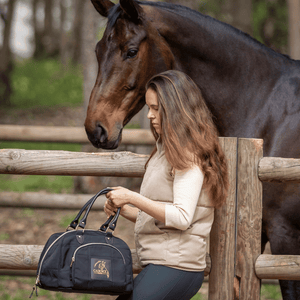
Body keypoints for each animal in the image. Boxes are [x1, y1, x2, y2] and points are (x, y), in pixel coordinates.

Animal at [84, 1, 300, 298]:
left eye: (131, 51)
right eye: (97, 50)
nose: (96, 128)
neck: (267, 110)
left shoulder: (285, 235)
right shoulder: (258, 234)